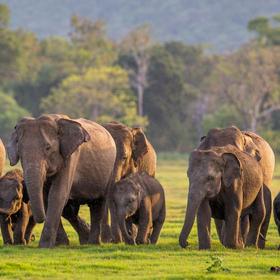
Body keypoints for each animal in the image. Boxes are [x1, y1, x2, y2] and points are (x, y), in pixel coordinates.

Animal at [6, 114, 116, 247]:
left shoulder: (71, 157)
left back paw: (92, 243)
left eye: (48, 148)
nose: (40, 219)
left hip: (109, 171)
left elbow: (57, 194)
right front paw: (61, 244)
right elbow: (47, 197)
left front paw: (45, 246)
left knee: (98, 204)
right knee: (71, 210)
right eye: (19, 151)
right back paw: (84, 240)